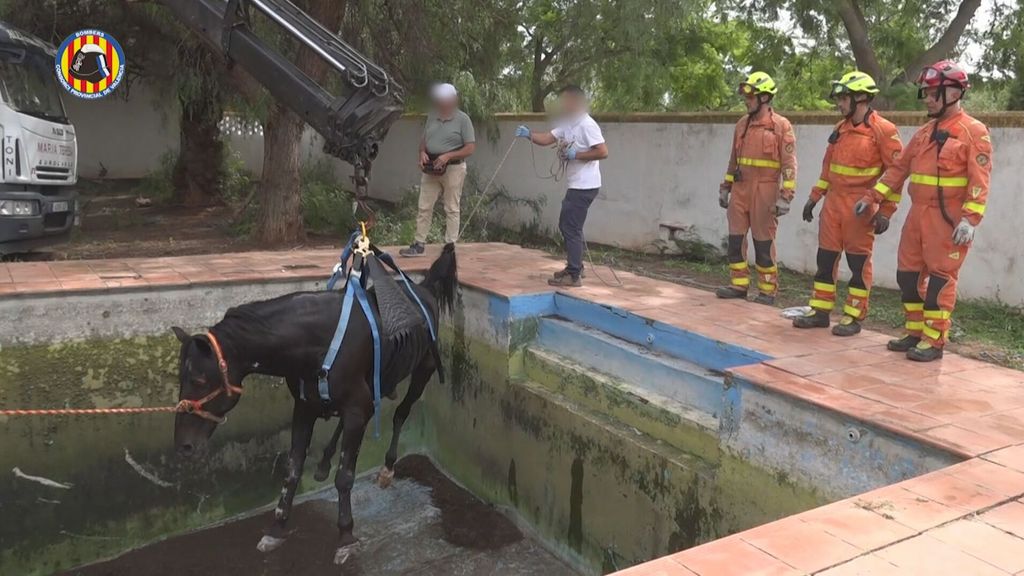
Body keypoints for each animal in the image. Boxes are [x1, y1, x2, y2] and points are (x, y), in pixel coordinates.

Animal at [171, 241, 456, 561]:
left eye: (199, 380)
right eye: (181, 379)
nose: (183, 444)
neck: (319, 342)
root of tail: (426, 289)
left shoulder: (356, 408)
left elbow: (345, 475)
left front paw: (346, 535)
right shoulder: (306, 407)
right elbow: (293, 470)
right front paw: (277, 528)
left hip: (423, 371)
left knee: (401, 413)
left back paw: (387, 468)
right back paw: (324, 461)